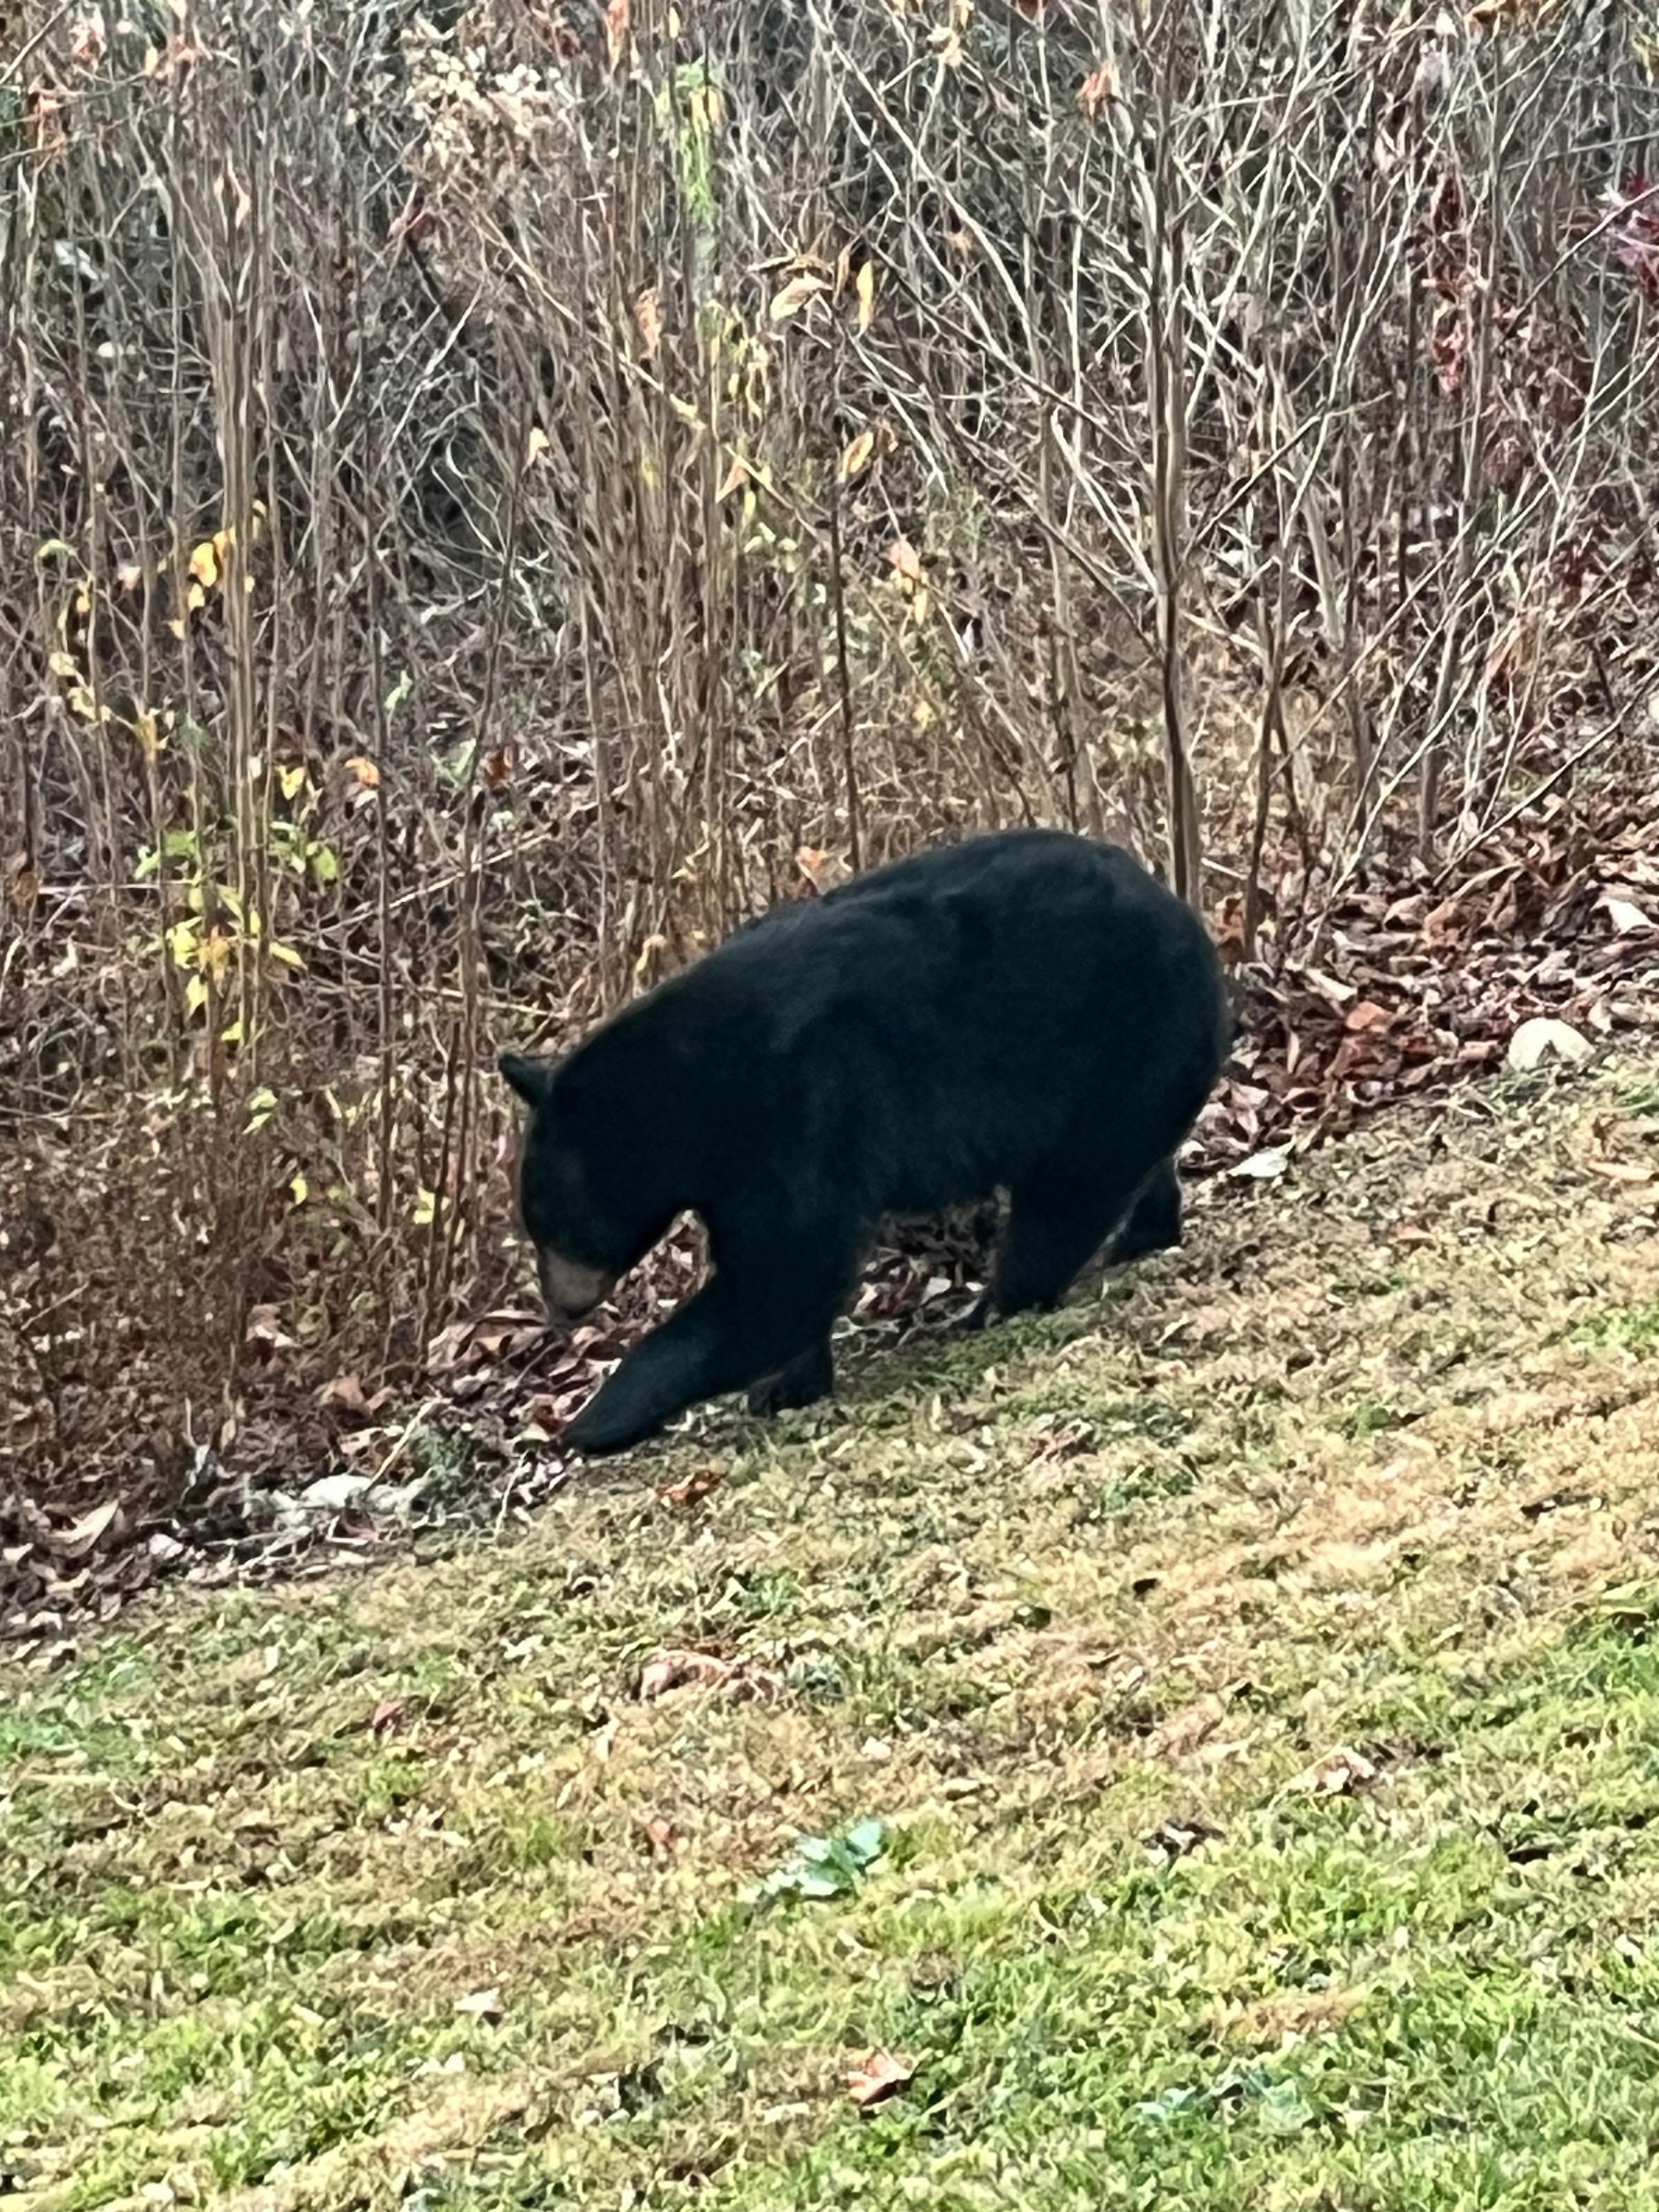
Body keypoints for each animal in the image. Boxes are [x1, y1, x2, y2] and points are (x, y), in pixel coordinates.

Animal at [498, 828, 1233, 1456]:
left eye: (554, 1225)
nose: (560, 1308)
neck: (695, 1097)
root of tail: (1185, 914)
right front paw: (788, 1384)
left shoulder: (796, 1115)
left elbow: (785, 1272)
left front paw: (597, 1417)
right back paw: (1143, 1232)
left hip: (1109, 1045)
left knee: (1070, 1193)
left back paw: (1000, 1299)